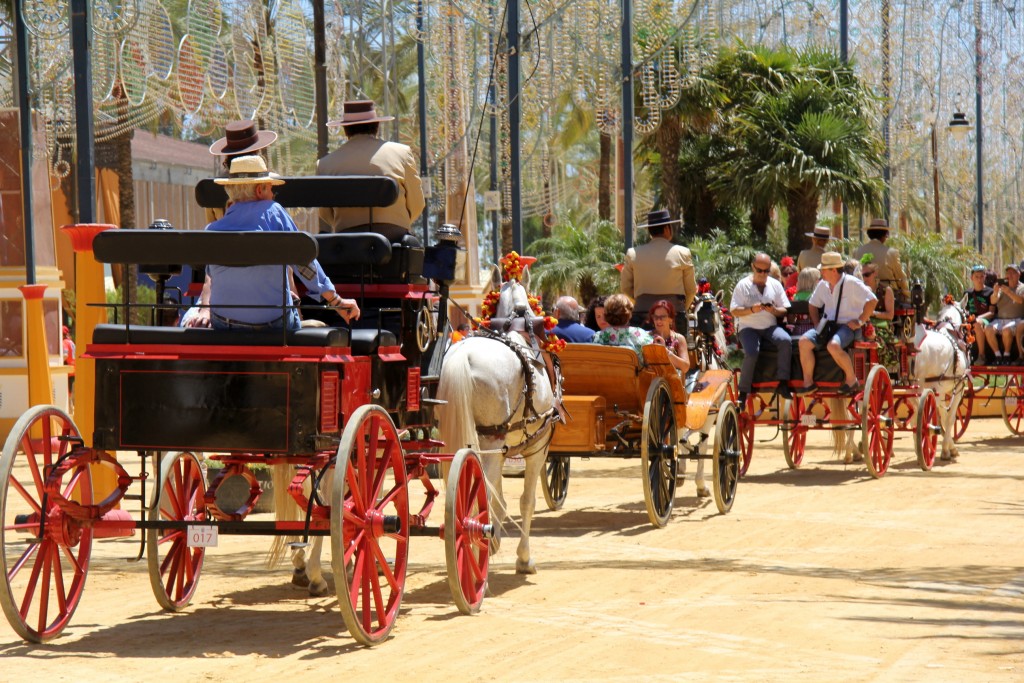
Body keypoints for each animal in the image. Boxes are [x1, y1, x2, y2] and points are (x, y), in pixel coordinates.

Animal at [434, 274, 557, 573]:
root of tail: (463, 356)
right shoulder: (538, 447)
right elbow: (526, 502)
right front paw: (523, 558)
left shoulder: (502, 450)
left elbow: (501, 500)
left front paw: (495, 542)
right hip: (492, 439)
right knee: (481, 498)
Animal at [917, 296, 970, 462]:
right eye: (967, 313)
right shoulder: (958, 388)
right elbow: (949, 417)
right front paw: (948, 450)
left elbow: (943, 418)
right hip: (934, 388)